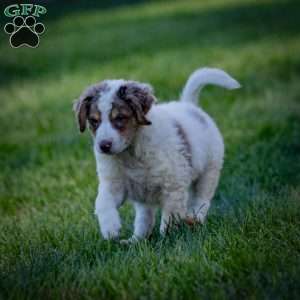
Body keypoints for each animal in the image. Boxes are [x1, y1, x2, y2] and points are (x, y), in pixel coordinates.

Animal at [72, 67, 239, 241]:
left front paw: (168, 238)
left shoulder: (173, 184)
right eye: (94, 121)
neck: (131, 153)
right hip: (143, 195)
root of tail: (189, 105)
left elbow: (170, 215)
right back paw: (136, 240)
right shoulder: (113, 183)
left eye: (120, 117)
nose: (104, 146)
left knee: (201, 199)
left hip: (209, 171)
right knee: (145, 217)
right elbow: (103, 202)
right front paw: (110, 229)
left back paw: (194, 218)